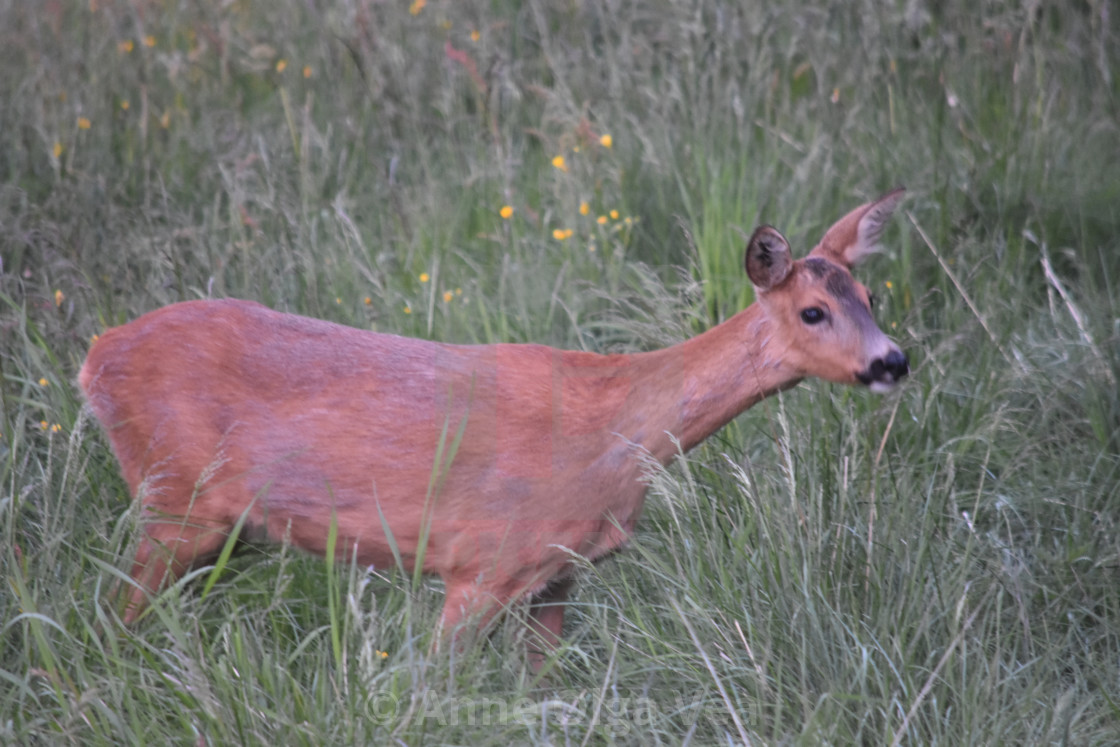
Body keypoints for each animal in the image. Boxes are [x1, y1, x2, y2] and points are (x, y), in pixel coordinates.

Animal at [81, 190, 909, 667]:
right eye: (813, 311)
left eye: (870, 296)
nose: (893, 359)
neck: (617, 428)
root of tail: (95, 358)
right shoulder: (481, 561)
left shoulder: (561, 572)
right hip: (175, 495)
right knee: (114, 613)